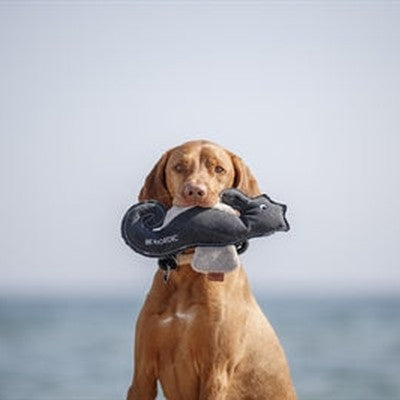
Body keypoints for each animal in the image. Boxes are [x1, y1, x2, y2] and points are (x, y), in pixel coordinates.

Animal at [126, 141, 296, 400]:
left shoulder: (215, 373)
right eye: (178, 167)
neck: (189, 273)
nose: (194, 191)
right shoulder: (142, 375)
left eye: (219, 169)